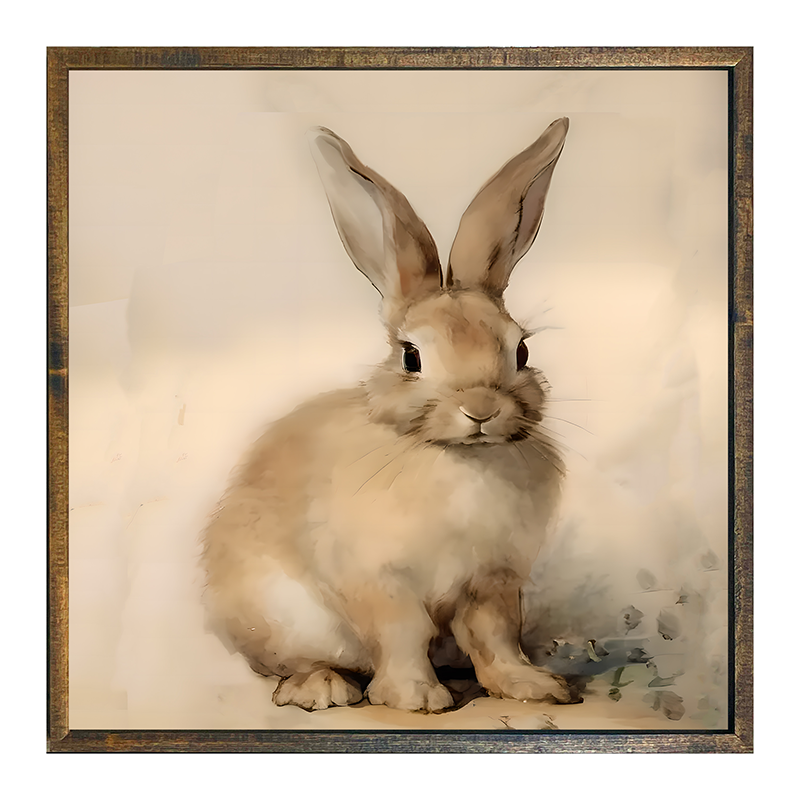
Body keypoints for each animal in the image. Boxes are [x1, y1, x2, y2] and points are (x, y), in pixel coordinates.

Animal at [202, 118, 571, 713]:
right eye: (411, 357)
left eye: (521, 350)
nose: (481, 409)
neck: (457, 459)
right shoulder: (378, 580)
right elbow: (401, 634)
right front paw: (416, 697)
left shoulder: (492, 580)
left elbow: (496, 636)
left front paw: (532, 687)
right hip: (281, 617)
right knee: (294, 665)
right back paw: (323, 688)